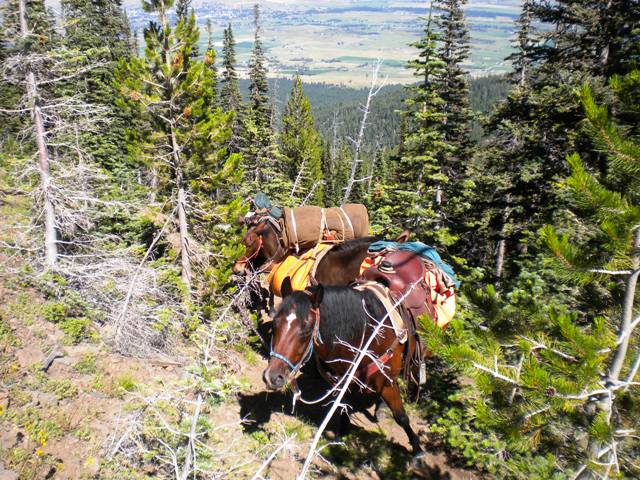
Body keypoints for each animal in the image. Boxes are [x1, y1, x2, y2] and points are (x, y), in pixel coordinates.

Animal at [262, 278, 422, 454]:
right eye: (275, 323)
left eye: (306, 330)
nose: (272, 376)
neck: (368, 334)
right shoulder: (346, 379)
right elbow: (345, 408)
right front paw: (342, 437)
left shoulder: (387, 382)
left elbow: (401, 416)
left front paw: (417, 449)